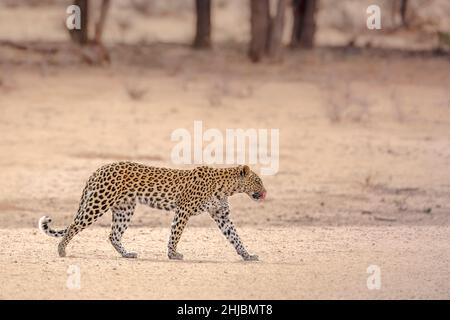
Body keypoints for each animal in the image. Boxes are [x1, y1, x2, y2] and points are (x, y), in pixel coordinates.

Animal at [37, 162, 268, 260]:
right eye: (258, 181)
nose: (265, 192)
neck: (226, 187)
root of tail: (100, 168)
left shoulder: (222, 215)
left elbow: (235, 237)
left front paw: (247, 255)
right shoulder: (183, 210)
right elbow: (175, 234)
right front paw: (173, 254)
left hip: (125, 209)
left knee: (113, 235)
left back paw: (127, 254)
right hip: (99, 202)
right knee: (74, 226)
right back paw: (61, 250)